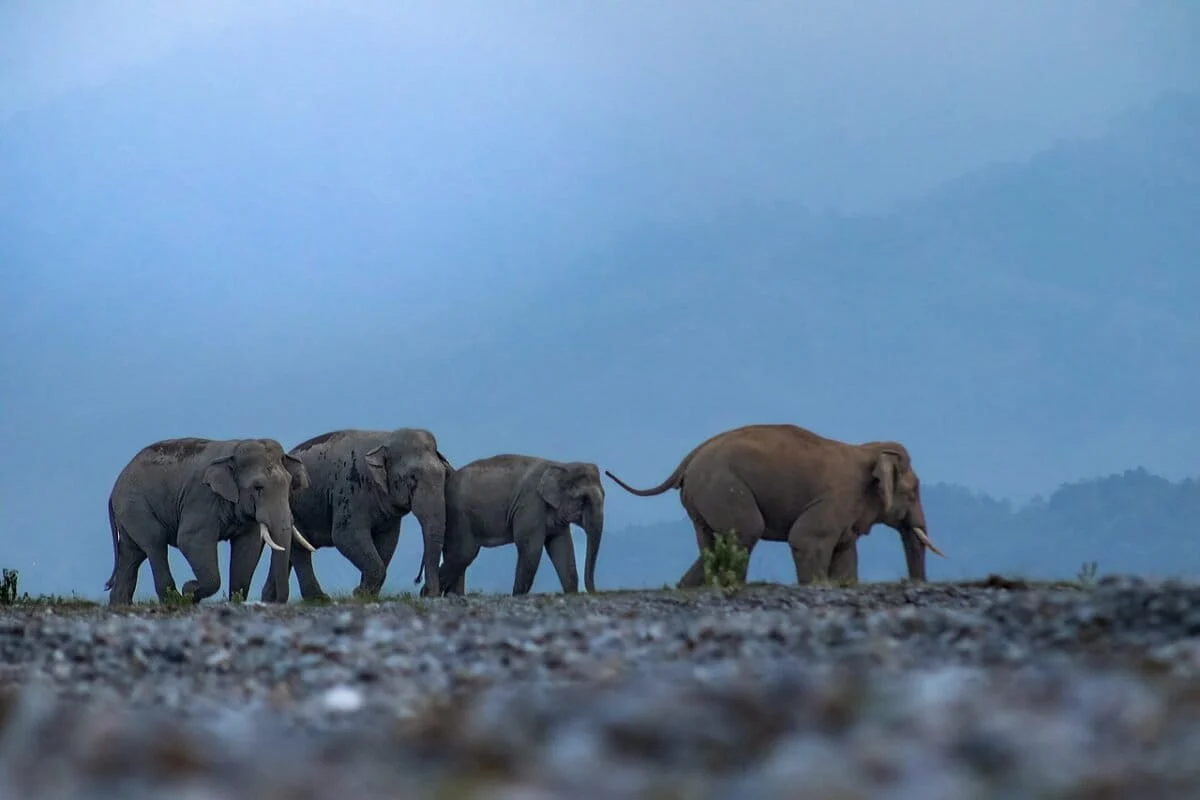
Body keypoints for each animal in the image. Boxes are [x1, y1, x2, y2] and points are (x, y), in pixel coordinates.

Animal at [105, 437, 313, 606]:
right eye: (258, 487)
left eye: (289, 484)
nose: (278, 601)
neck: (234, 451)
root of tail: (114, 489)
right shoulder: (201, 498)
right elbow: (190, 540)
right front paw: (190, 589)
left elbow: (249, 546)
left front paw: (235, 601)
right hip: (136, 506)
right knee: (155, 544)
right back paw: (173, 599)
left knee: (132, 554)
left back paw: (120, 604)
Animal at [260, 428, 452, 602]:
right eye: (412, 478)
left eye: (444, 475)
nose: (425, 592)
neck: (386, 438)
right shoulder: (351, 490)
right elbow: (345, 536)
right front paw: (358, 594)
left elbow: (388, 542)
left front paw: (366, 593)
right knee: (300, 550)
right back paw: (319, 599)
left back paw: (270, 600)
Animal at [420, 454, 605, 597]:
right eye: (584, 499)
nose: (593, 592)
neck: (562, 465)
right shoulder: (530, 505)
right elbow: (531, 548)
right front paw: (517, 596)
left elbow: (562, 546)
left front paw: (571, 593)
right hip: (459, 515)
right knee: (463, 553)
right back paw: (428, 594)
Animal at [603, 423, 946, 588]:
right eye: (914, 492)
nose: (912, 582)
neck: (867, 450)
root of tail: (690, 457)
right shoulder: (836, 499)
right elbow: (805, 540)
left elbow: (846, 553)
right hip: (723, 488)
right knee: (745, 532)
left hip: (701, 499)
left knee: (710, 541)